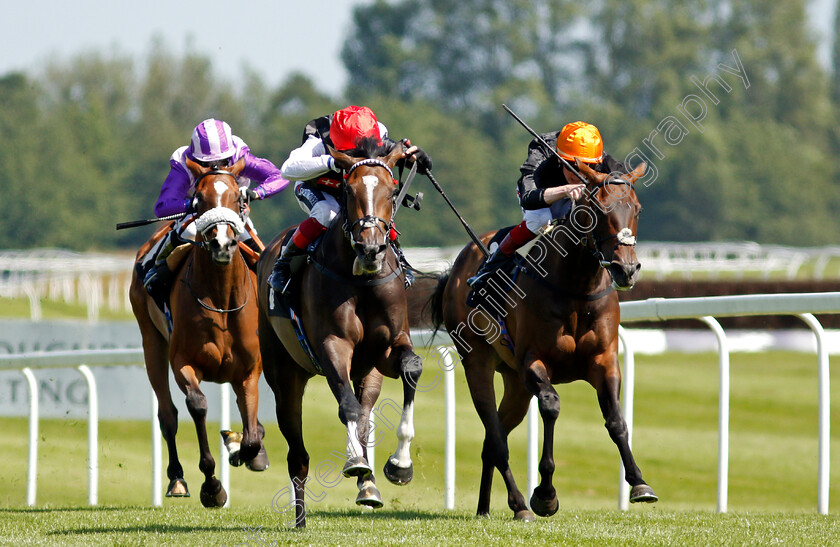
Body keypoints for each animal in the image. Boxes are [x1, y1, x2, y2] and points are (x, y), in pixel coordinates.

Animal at [129, 158, 262, 510]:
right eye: (198, 200)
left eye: (237, 198)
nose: (222, 244)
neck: (221, 299)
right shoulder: (182, 361)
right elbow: (198, 405)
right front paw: (212, 486)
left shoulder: (249, 368)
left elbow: (252, 428)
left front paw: (241, 447)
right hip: (151, 342)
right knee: (167, 414)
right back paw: (177, 479)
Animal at [256, 139, 424, 528]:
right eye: (348, 189)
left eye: (391, 189)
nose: (371, 249)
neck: (360, 279)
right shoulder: (332, 345)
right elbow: (345, 405)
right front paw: (355, 461)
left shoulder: (389, 347)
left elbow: (411, 368)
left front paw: (400, 464)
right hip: (284, 374)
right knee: (298, 453)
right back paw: (301, 517)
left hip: (368, 374)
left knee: (363, 416)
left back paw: (368, 487)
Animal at [434, 159, 656, 524]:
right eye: (598, 209)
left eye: (637, 209)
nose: (626, 270)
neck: (576, 287)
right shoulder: (533, 361)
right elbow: (551, 406)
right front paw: (545, 494)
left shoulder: (604, 360)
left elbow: (616, 418)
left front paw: (639, 483)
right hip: (478, 364)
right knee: (496, 438)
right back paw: (519, 503)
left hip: (514, 384)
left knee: (492, 440)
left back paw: (486, 507)